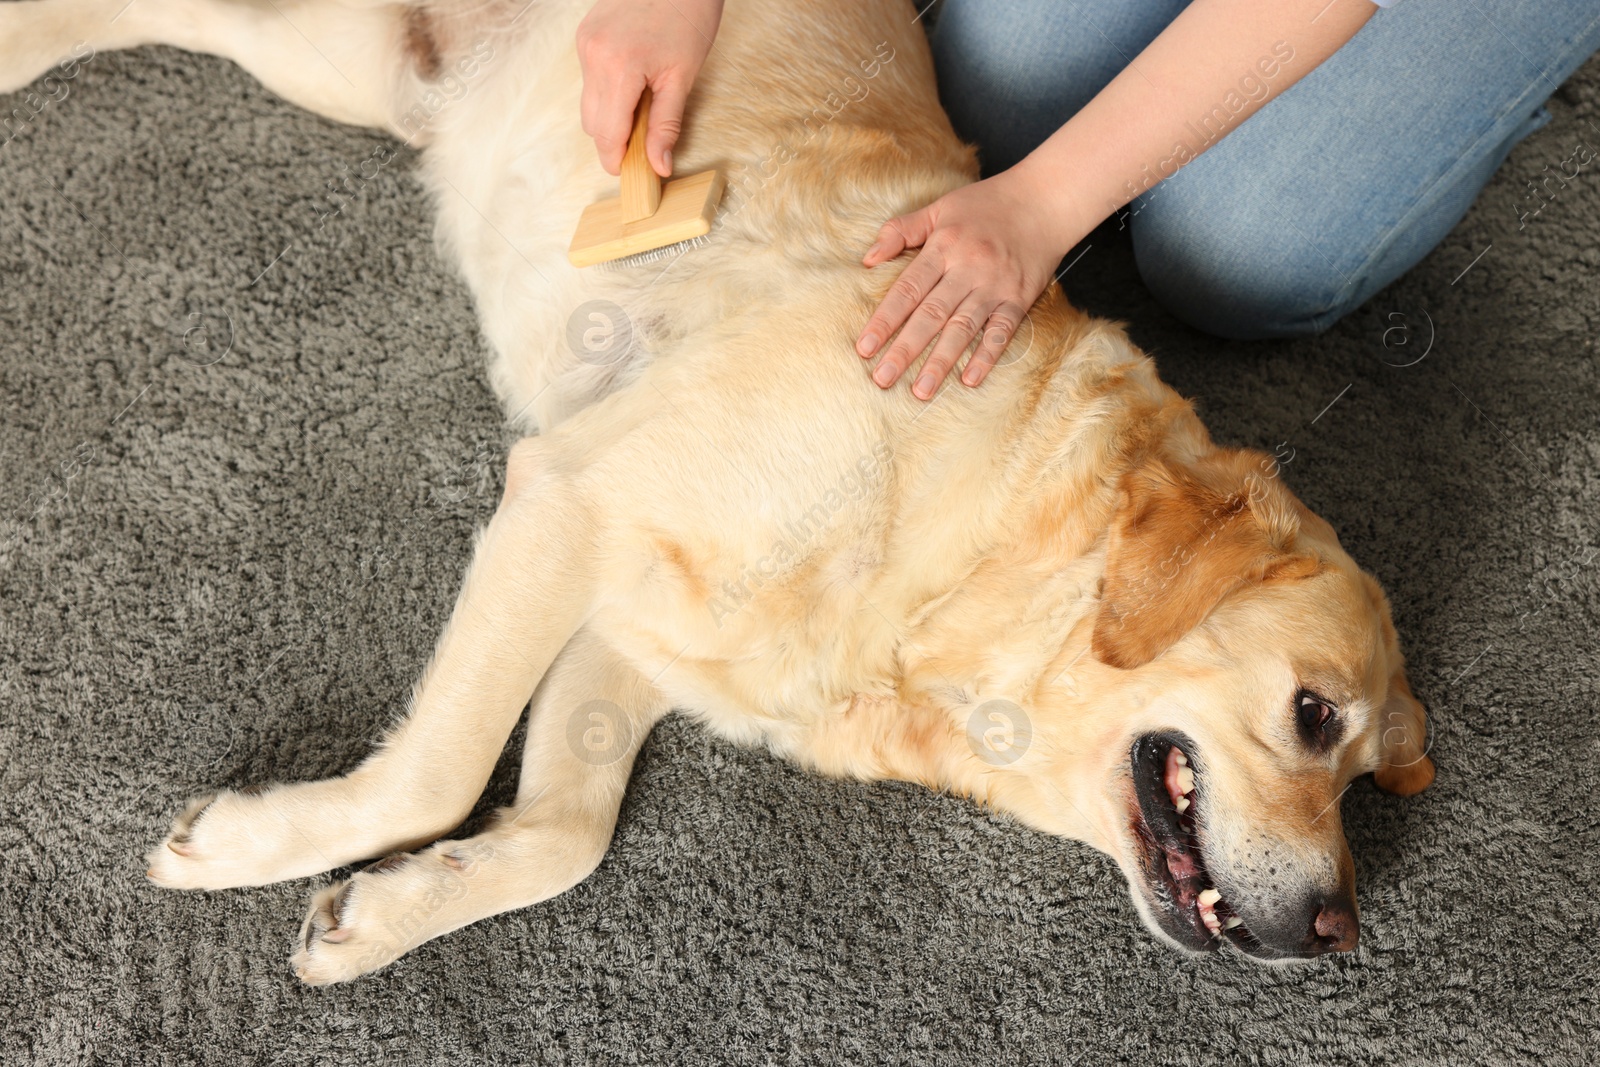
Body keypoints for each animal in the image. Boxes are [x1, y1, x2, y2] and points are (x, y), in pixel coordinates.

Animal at [3, 0, 1440, 985]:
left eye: (1374, 778)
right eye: (1313, 714)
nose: (1337, 926)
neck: (958, 572)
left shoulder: (635, 633)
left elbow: (563, 831)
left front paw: (386, 909)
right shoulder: (570, 500)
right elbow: (438, 769)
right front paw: (264, 841)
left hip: (355, 68)